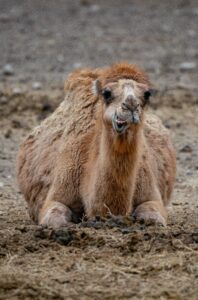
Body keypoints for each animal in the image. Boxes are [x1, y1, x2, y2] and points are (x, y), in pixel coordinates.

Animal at [16, 62, 176, 227]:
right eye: (106, 93)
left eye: (147, 94)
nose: (130, 105)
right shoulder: (57, 194)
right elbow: (55, 219)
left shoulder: (151, 195)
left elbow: (154, 219)